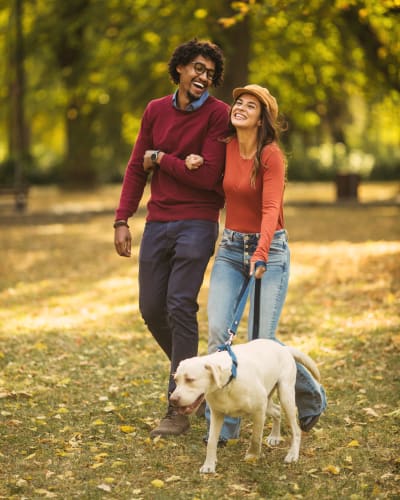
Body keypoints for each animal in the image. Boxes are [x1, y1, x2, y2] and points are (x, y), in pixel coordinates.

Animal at [170, 340, 320, 472]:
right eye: (175, 380)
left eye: (190, 379)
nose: (172, 400)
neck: (229, 382)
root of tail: (283, 347)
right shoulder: (216, 414)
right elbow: (212, 441)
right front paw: (209, 465)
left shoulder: (259, 410)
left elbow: (256, 437)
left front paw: (252, 455)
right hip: (269, 402)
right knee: (277, 411)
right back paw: (275, 436)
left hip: (285, 396)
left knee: (296, 429)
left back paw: (293, 454)